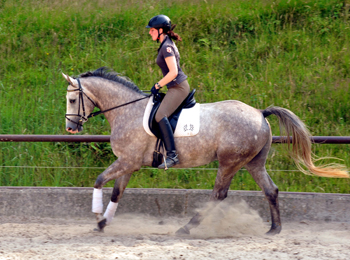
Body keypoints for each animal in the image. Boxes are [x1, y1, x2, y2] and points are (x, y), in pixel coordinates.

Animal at [62, 67, 348, 236]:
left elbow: (99, 180)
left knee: (218, 195)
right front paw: (103, 222)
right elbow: (117, 192)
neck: (126, 109)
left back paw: (188, 227)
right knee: (271, 190)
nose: (71, 127)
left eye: (73, 99)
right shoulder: (129, 163)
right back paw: (274, 229)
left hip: (229, 162)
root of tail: (259, 112)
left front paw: (97, 215)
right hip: (254, 163)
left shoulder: (127, 160)